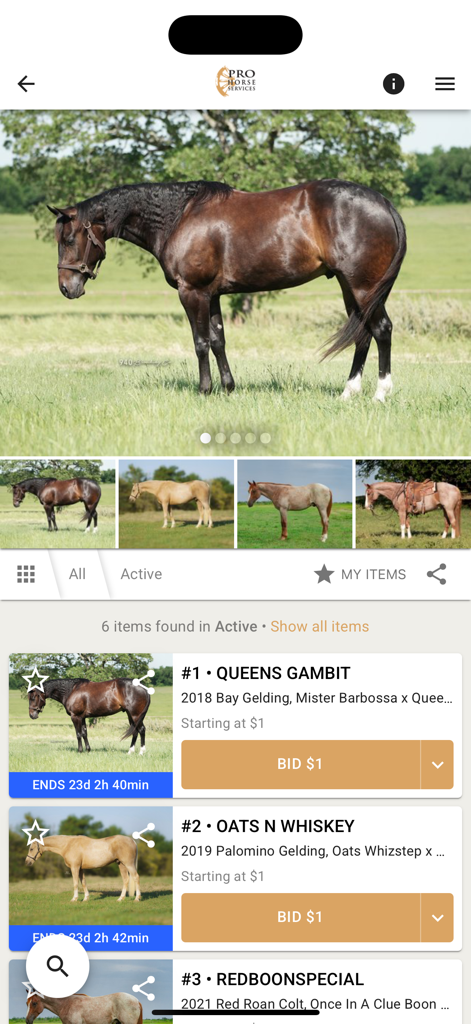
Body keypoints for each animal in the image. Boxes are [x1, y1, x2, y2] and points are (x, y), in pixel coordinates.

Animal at [48, 178, 406, 402]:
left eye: (69, 239)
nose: (66, 287)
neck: (179, 217)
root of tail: (383, 203)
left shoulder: (193, 292)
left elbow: (201, 343)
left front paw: (204, 391)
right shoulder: (213, 295)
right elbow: (219, 340)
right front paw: (229, 388)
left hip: (363, 287)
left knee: (382, 329)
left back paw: (380, 394)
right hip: (351, 288)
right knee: (363, 335)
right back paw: (349, 392)